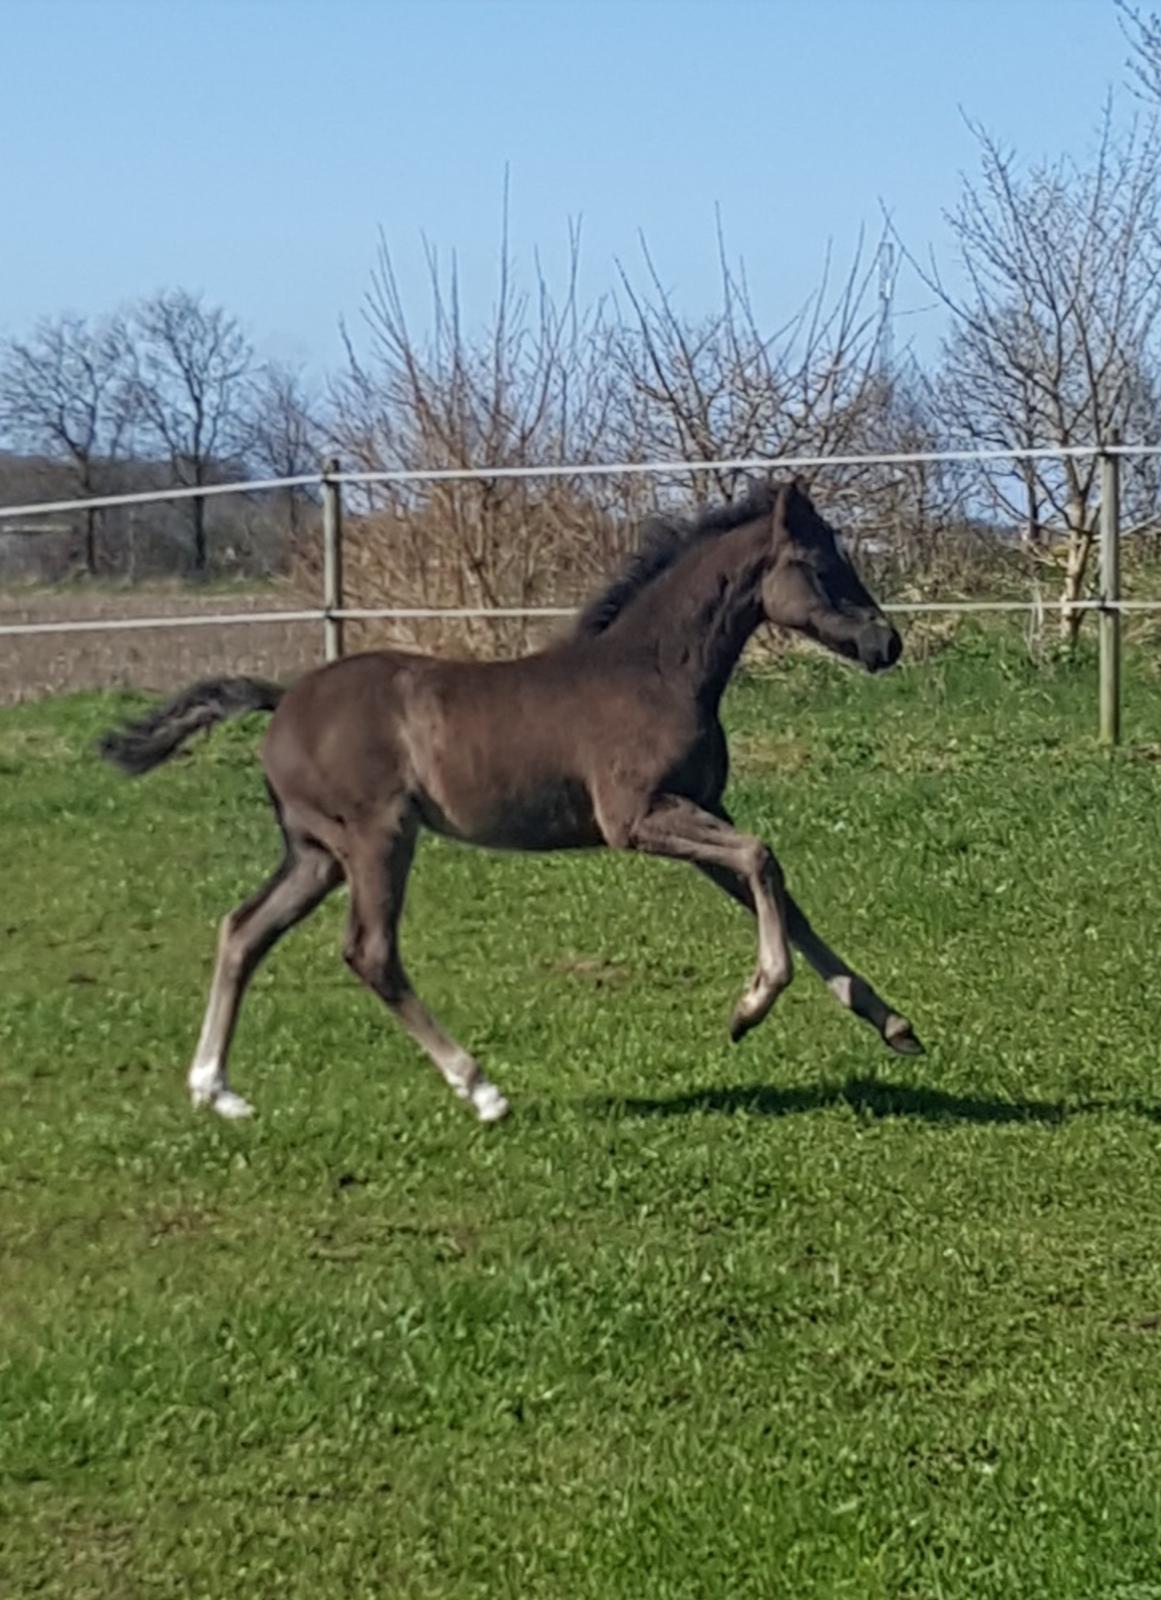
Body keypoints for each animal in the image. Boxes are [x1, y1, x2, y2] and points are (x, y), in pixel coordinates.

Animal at [97, 480, 921, 1120]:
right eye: (819, 564)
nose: (886, 643)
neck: (657, 670)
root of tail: (282, 700)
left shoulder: (699, 812)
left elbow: (777, 892)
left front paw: (893, 1024)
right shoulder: (636, 819)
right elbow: (763, 859)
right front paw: (749, 1008)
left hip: (316, 853)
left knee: (244, 930)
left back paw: (216, 1090)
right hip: (376, 837)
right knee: (369, 951)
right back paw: (481, 1089)